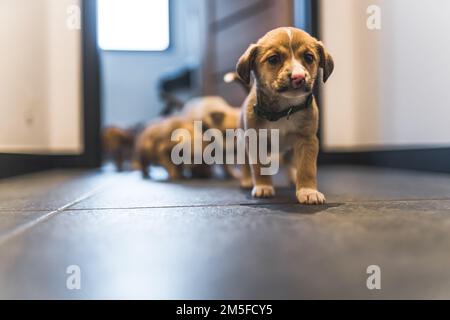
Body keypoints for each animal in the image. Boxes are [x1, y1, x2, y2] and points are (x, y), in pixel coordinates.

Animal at [237, 26, 332, 204]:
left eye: (309, 57)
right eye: (273, 59)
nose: (298, 77)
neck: (284, 110)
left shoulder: (307, 139)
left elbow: (307, 168)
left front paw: (307, 191)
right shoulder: (255, 139)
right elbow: (258, 167)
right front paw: (263, 186)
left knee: (290, 162)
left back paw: (293, 177)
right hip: (242, 139)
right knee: (246, 163)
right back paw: (246, 180)